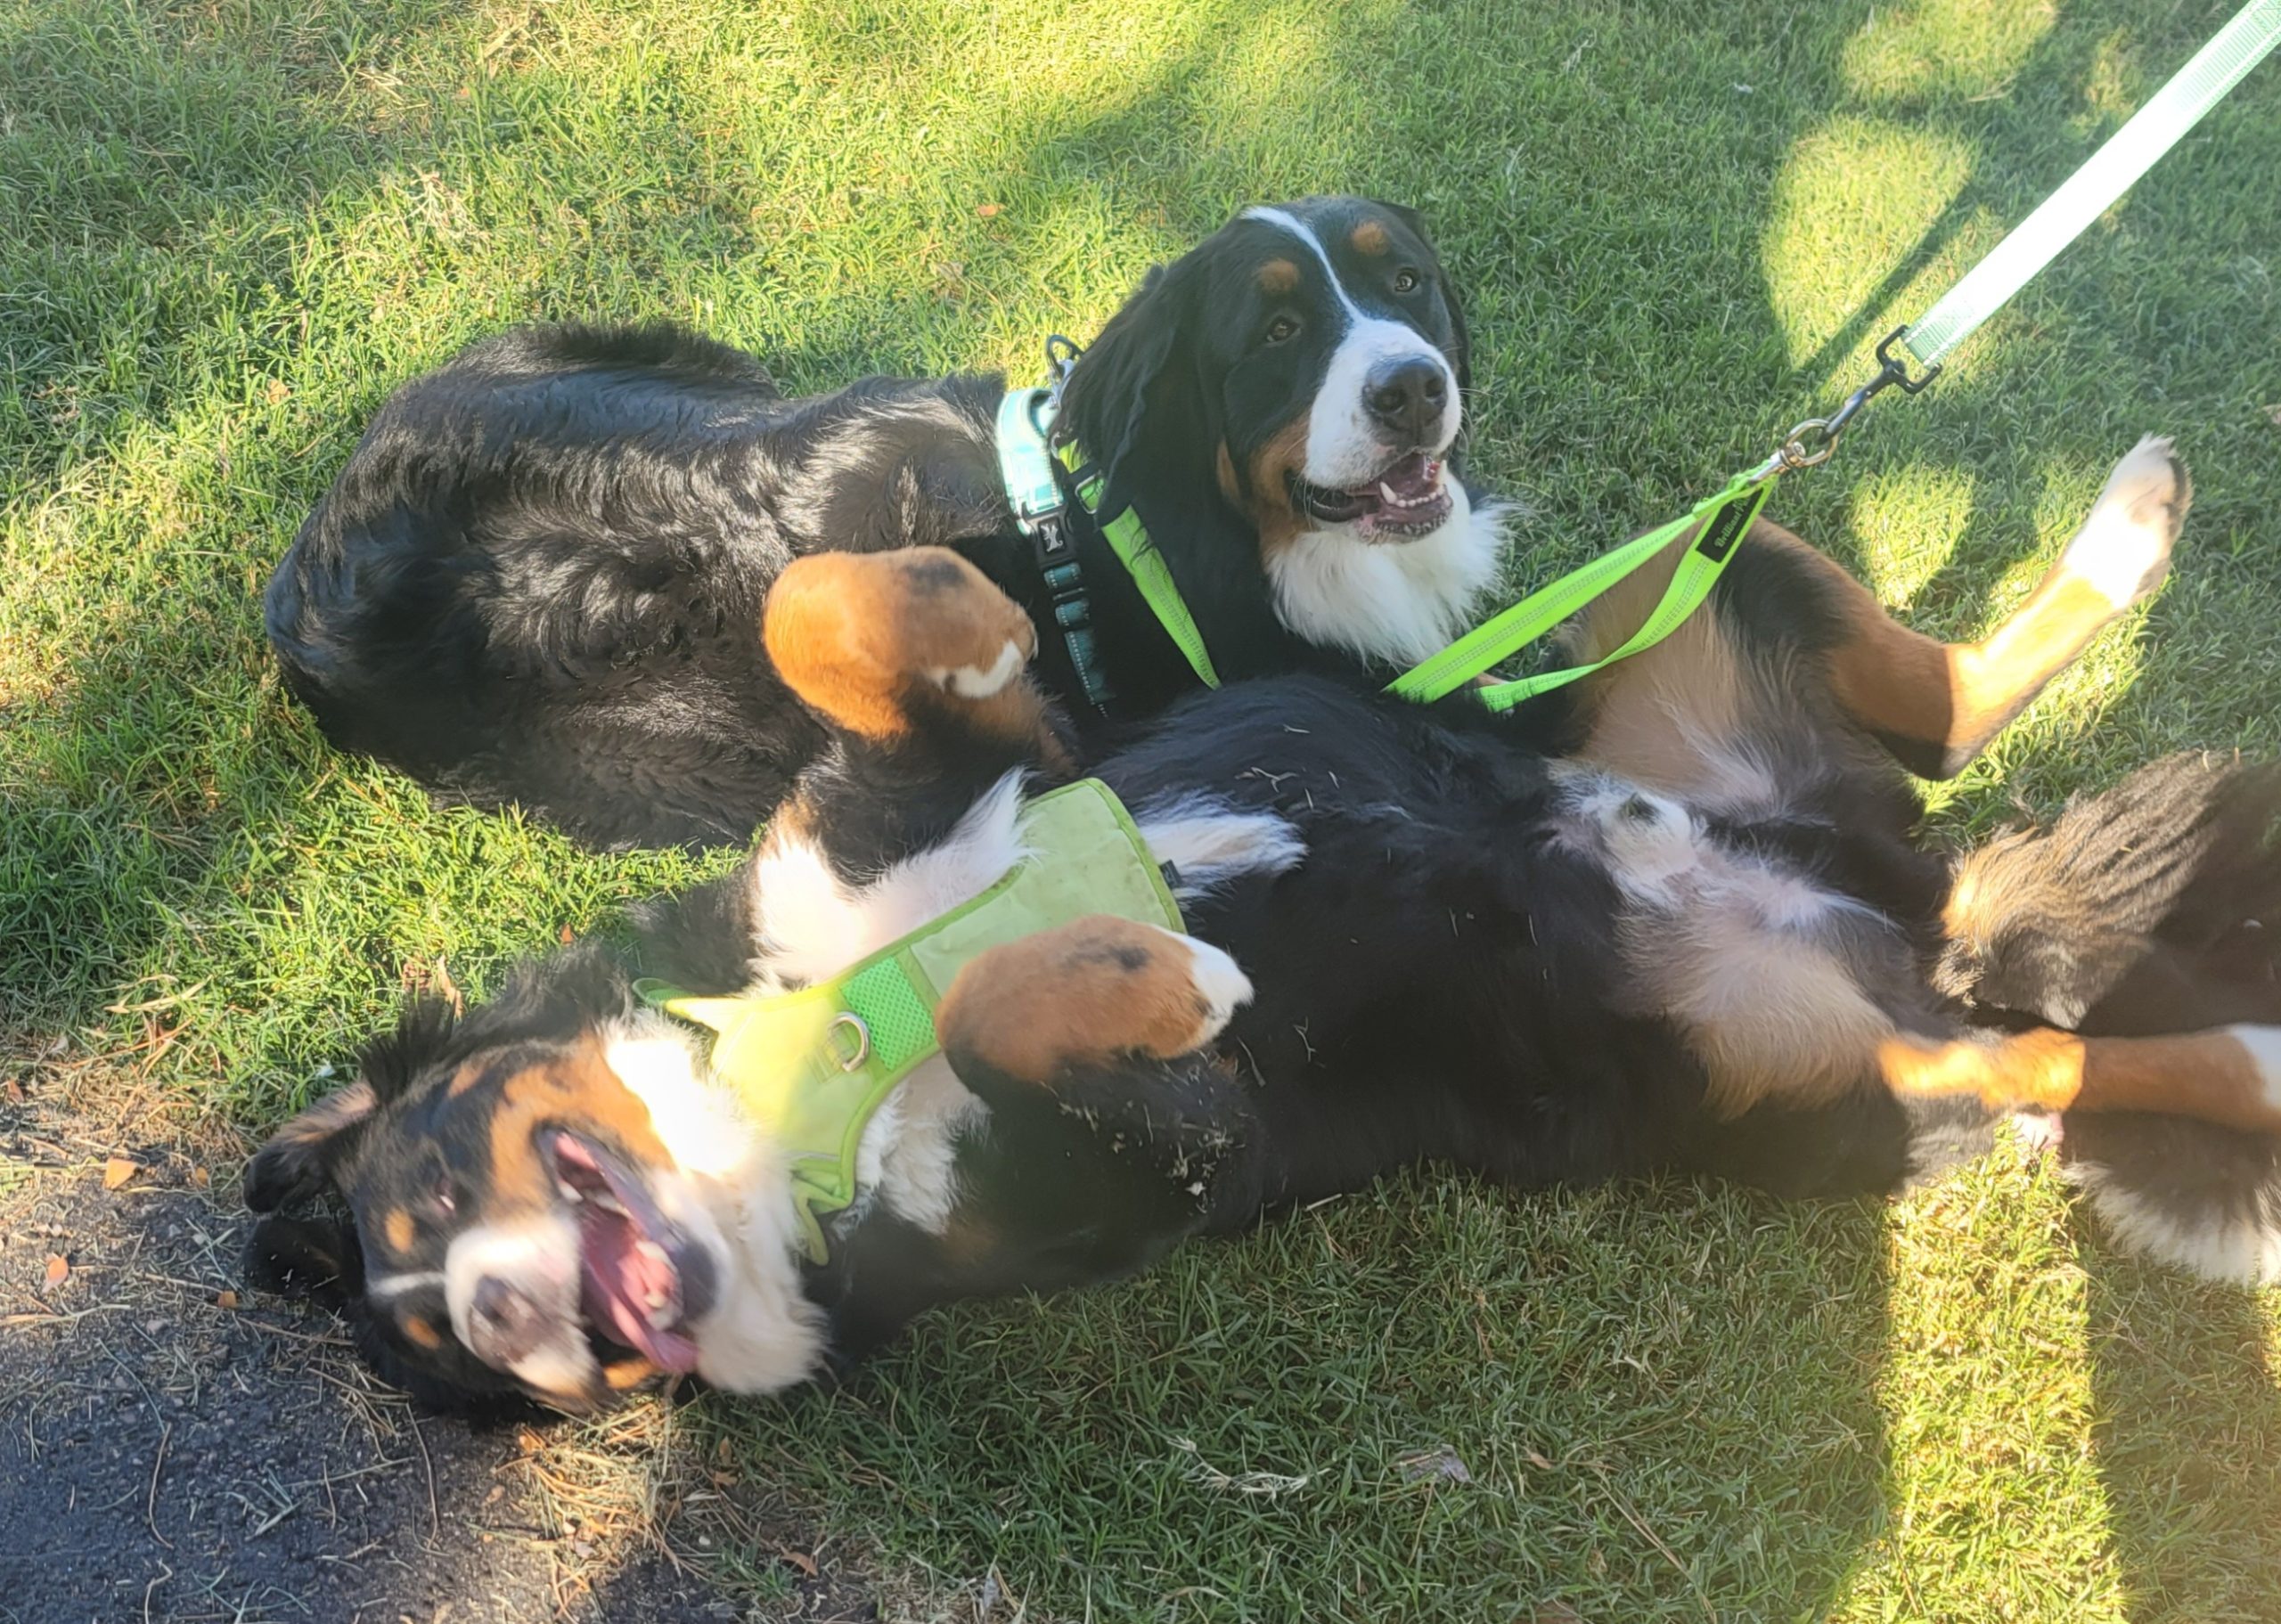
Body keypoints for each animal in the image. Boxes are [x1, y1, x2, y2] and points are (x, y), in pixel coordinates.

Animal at [244, 436, 2281, 1415]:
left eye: (423, 1184)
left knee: (1935, 691)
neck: (787, 1074)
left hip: (1657, 602)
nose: (505, 1308)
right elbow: (998, 1013)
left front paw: (970, 596)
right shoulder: (1156, 1160)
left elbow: (823, 615)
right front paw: (1153, 969)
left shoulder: (922, 789)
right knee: (2051, 1043)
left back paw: (2130, 516)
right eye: (458, 1351)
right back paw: (2243, 1051)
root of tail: (1873, 882)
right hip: (1854, 1071)